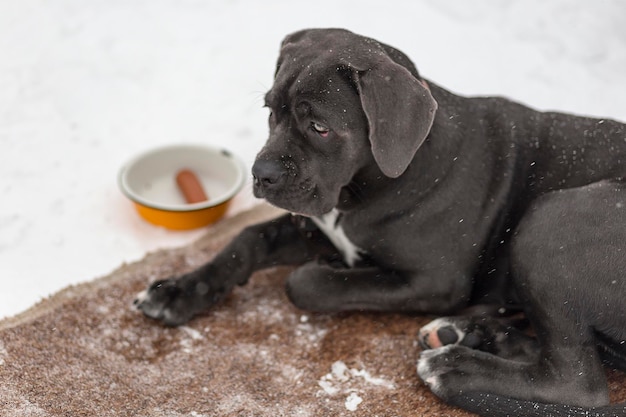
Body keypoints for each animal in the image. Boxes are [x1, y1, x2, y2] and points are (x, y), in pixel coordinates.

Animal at [134, 29, 620, 416]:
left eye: (319, 126)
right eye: (271, 110)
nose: (262, 174)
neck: (365, 187)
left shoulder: (432, 280)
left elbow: (306, 283)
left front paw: (326, 271)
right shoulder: (319, 224)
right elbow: (248, 238)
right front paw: (177, 292)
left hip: (553, 218)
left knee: (579, 381)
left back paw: (452, 368)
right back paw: (470, 333)